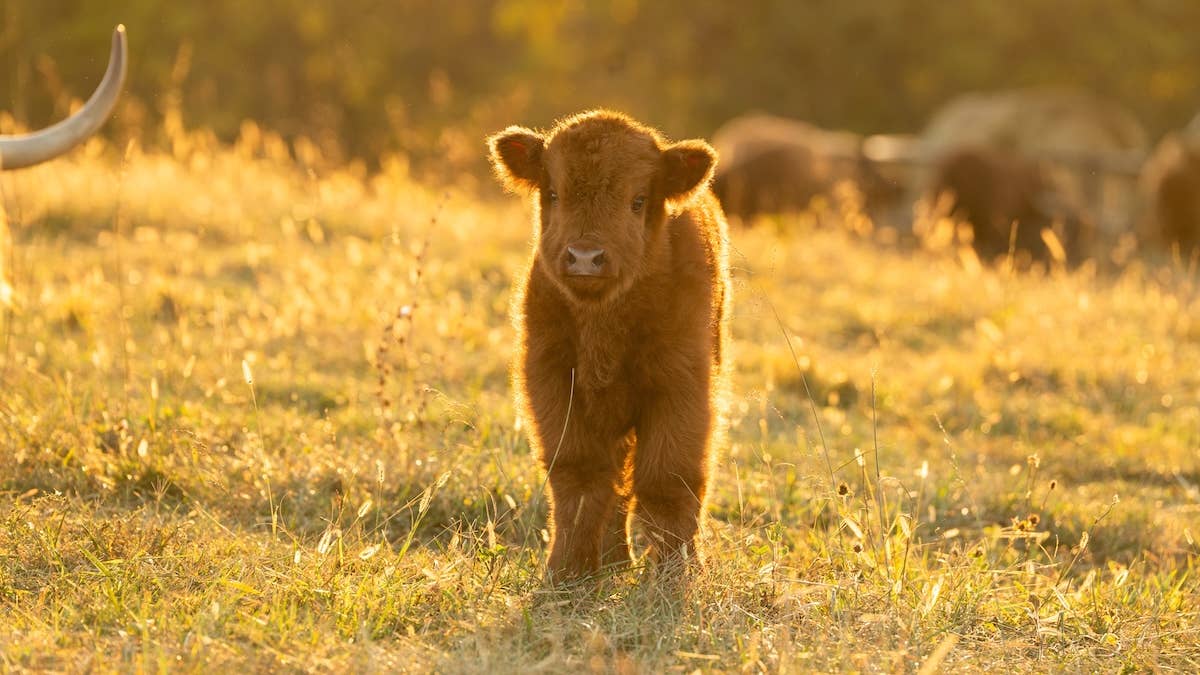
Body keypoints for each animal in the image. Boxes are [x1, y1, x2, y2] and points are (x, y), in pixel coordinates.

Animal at [487, 110, 731, 581]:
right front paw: (566, 572)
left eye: (638, 199)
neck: (603, 324)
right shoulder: (553, 382)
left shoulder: (682, 388)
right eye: (553, 193)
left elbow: (668, 481)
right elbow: (579, 479)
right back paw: (614, 561)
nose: (585, 257)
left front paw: (675, 575)